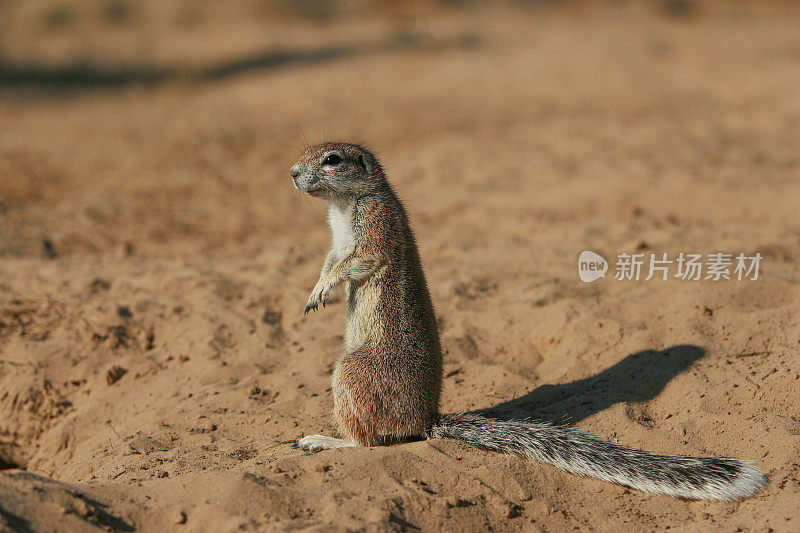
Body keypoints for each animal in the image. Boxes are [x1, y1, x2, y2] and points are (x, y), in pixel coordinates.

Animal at [290, 140, 768, 498]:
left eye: (332, 159)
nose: (292, 172)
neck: (344, 205)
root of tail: (425, 419)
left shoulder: (376, 228)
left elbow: (356, 261)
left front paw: (320, 291)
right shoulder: (336, 242)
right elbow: (331, 260)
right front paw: (314, 289)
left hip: (352, 372)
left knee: (368, 442)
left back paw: (325, 441)